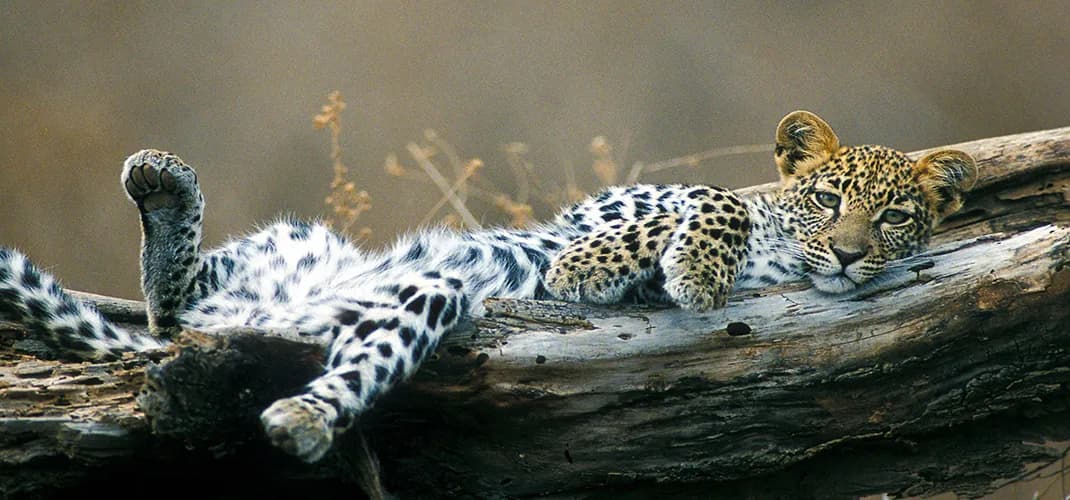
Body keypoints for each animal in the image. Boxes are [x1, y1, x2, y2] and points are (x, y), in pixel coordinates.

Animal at [0, 111, 976, 463]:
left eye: (896, 218)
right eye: (827, 200)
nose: (846, 256)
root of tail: (275, 310)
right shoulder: (609, 204)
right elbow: (707, 200)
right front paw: (626, 263)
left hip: (417, 298)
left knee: (204, 325)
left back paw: (301, 417)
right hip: (297, 245)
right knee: (173, 300)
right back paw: (163, 182)